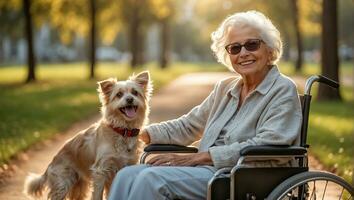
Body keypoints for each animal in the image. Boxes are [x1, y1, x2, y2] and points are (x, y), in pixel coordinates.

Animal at [23, 71, 153, 199]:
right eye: (119, 94)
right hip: (62, 185)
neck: (123, 130)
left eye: (135, 92)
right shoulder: (100, 171)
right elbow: (98, 195)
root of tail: (50, 164)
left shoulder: (126, 167)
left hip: (79, 187)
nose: (130, 99)